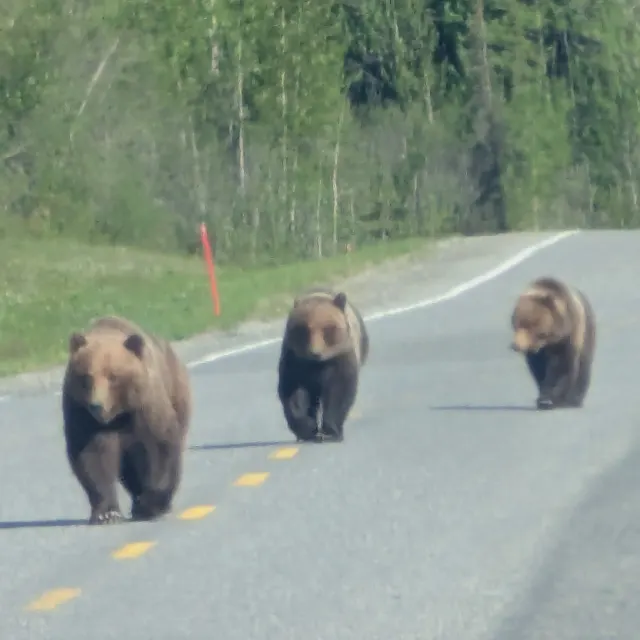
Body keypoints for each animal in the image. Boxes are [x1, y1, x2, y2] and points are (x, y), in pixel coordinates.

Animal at [61, 315, 192, 525]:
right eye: (87, 377)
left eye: (113, 376)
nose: (96, 405)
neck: (117, 414)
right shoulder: (81, 412)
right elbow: (90, 455)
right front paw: (107, 513)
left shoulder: (146, 405)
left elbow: (159, 446)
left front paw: (151, 504)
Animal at [277, 287, 369, 443]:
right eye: (304, 329)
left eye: (327, 329)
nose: (315, 352)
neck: (317, 364)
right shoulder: (295, 359)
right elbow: (293, 391)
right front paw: (306, 428)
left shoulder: (340, 354)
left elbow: (339, 390)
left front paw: (330, 431)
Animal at [510, 276, 596, 410]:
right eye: (516, 323)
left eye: (530, 325)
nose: (516, 346)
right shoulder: (537, 351)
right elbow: (538, 368)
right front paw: (544, 396)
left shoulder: (566, 339)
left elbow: (562, 366)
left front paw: (554, 397)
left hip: (586, 331)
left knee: (584, 364)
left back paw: (575, 399)